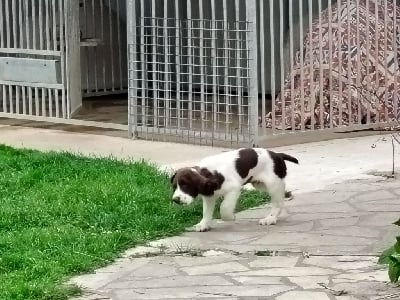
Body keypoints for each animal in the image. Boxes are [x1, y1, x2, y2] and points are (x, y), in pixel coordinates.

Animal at [170, 148, 298, 232]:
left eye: (186, 185)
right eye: (174, 186)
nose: (175, 199)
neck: (210, 173)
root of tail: (277, 154)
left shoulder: (234, 188)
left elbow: (224, 207)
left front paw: (230, 217)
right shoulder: (209, 195)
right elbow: (206, 212)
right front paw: (203, 224)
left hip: (272, 183)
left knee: (277, 203)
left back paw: (270, 219)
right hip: (260, 184)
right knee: (281, 198)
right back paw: (287, 196)